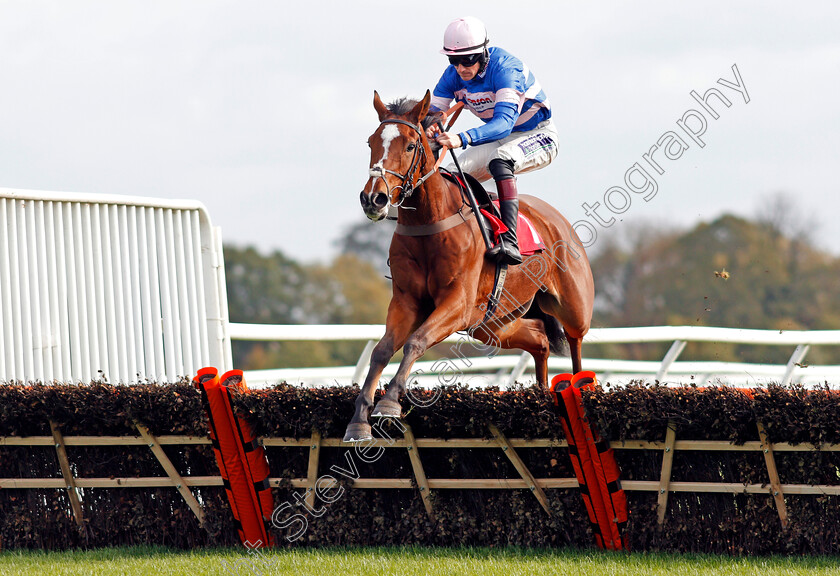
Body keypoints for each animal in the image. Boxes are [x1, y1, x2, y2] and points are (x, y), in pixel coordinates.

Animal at [344, 90, 592, 440]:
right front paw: (359, 419)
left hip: (572, 307)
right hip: (491, 323)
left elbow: (415, 341)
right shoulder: (406, 301)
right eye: (371, 143)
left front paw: (389, 403)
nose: (373, 199)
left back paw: (581, 395)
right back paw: (540, 393)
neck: (429, 222)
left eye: (410, 145)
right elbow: (381, 350)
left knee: (575, 343)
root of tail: (558, 219)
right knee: (540, 339)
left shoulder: (457, 304)